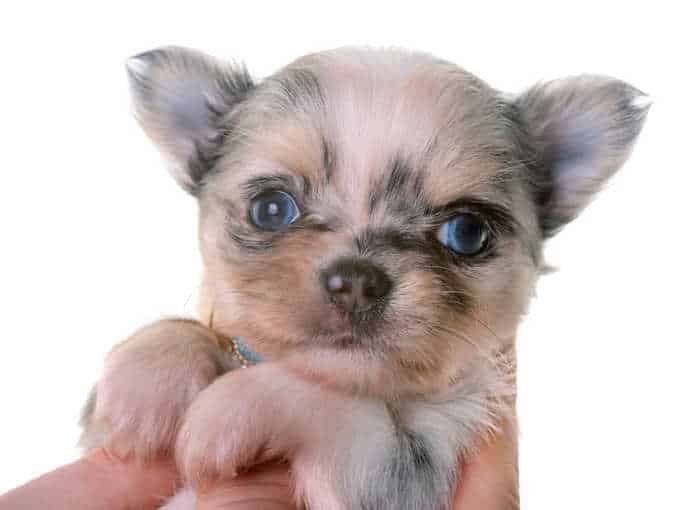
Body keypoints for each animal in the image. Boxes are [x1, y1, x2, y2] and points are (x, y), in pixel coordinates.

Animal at [82, 45, 652, 508]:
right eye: (271, 209)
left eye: (466, 232)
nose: (356, 279)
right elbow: (192, 329)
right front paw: (148, 378)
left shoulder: (408, 474)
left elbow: (339, 406)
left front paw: (231, 409)